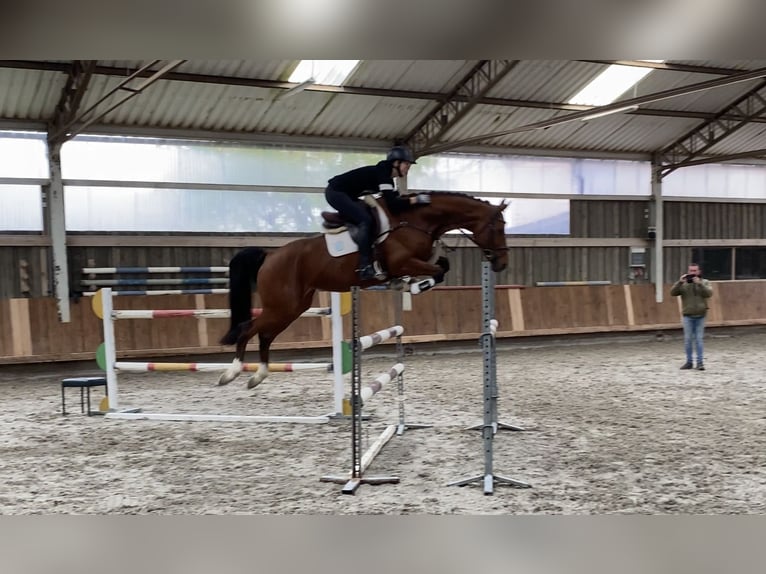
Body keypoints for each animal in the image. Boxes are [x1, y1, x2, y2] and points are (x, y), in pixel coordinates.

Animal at [217, 191, 509, 389]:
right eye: (498, 227)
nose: (502, 263)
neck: (414, 220)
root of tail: (269, 255)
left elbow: (442, 267)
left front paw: (405, 284)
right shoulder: (403, 261)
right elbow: (436, 272)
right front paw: (413, 286)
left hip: (293, 308)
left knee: (265, 335)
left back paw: (258, 375)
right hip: (282, 306)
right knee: (247, 329)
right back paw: (231, 373)